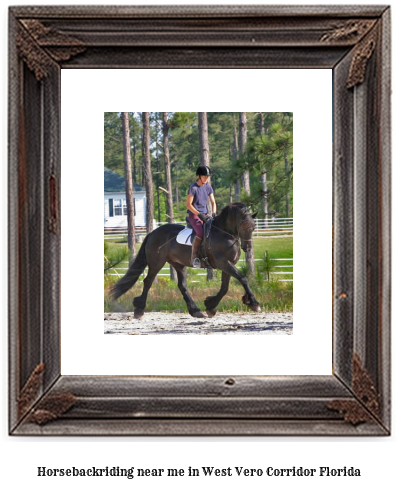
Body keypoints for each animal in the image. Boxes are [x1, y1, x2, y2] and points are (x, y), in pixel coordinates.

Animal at [111, 201, 262, 320]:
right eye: (244, 227)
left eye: (253, 228)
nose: (247, 248)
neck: (224, 234)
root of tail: (152, 233)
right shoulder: (223, 263)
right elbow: (242, 278)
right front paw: (254, 303)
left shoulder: (228, 264)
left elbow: (225, 287)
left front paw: (210, 306)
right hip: (156, 263)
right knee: (148, 281)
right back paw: (139, 310)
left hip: (179, 264)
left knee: (182, 285)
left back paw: (195, 311)